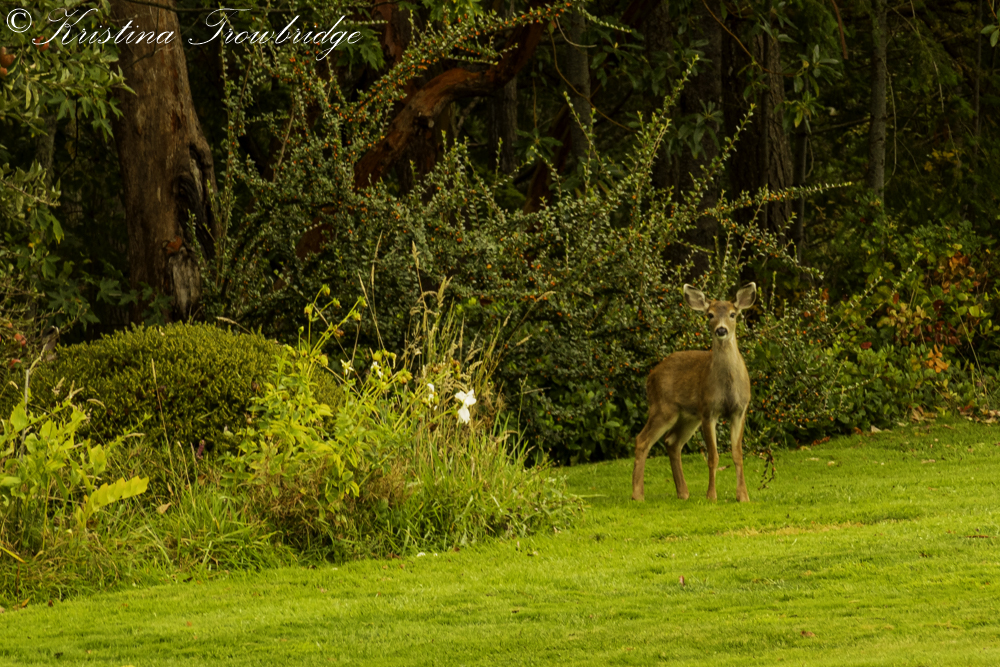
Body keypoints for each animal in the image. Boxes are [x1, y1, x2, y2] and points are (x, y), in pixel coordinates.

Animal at [632, 283, 756, 503]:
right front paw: (711, 496)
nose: (721, 330)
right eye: (710, 314)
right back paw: (638, 495)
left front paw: (743, 496)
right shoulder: (708, 410)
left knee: (672, 441)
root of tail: (650, 376)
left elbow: (737, 454)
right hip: (663, 408)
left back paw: (683, 492)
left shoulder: (740, 410)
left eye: (733, 314)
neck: (727, 386)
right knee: (642, 440)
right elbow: (713, 456)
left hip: (688, 416)